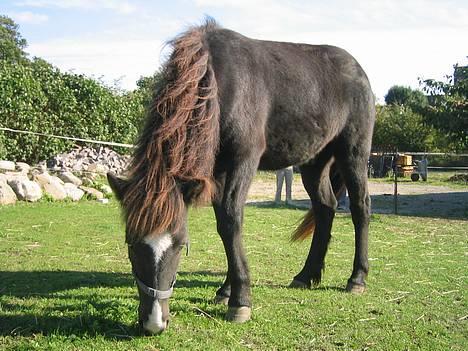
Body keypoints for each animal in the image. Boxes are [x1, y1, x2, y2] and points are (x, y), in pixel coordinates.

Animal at [108, 19, 374, 336]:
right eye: (131, 243)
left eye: (181, 244)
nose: (153, 322)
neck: (216, 80)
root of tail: (358, 70)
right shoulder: (217, 171)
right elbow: (224, 227)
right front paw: (226, 290)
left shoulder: (243, 160)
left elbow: (231, 220)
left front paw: (240, 301)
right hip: (313, 163)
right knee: (325, 208)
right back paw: (306, 275)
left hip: (353, 153)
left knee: (360, 207)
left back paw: (357, 278)